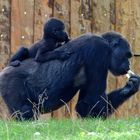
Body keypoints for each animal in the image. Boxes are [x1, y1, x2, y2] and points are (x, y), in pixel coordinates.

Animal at [0, 32, 139, 120]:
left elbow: (84, 106)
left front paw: (130, 87)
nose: (128, 65)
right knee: (24, 110)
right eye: (127, 55)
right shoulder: (99, 50)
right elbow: (92, 101)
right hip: (9, 81)